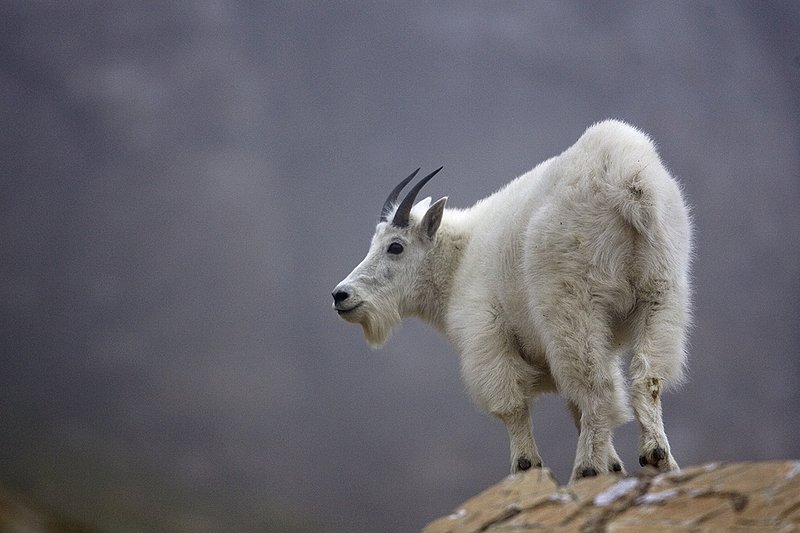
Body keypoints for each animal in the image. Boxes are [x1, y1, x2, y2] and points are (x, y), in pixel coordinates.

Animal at [332, 120, 692, 482]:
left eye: (395, 246)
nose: (341, 295)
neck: (456, 262)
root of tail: (627, 176)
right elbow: (572, 406)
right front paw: (615, 466)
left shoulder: (487, 336)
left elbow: (511, 406)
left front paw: (527, 465)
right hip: (661, 289)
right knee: (647, 375)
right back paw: (658, 456)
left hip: (572, 302)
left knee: (597, 386)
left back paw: (586, 468)